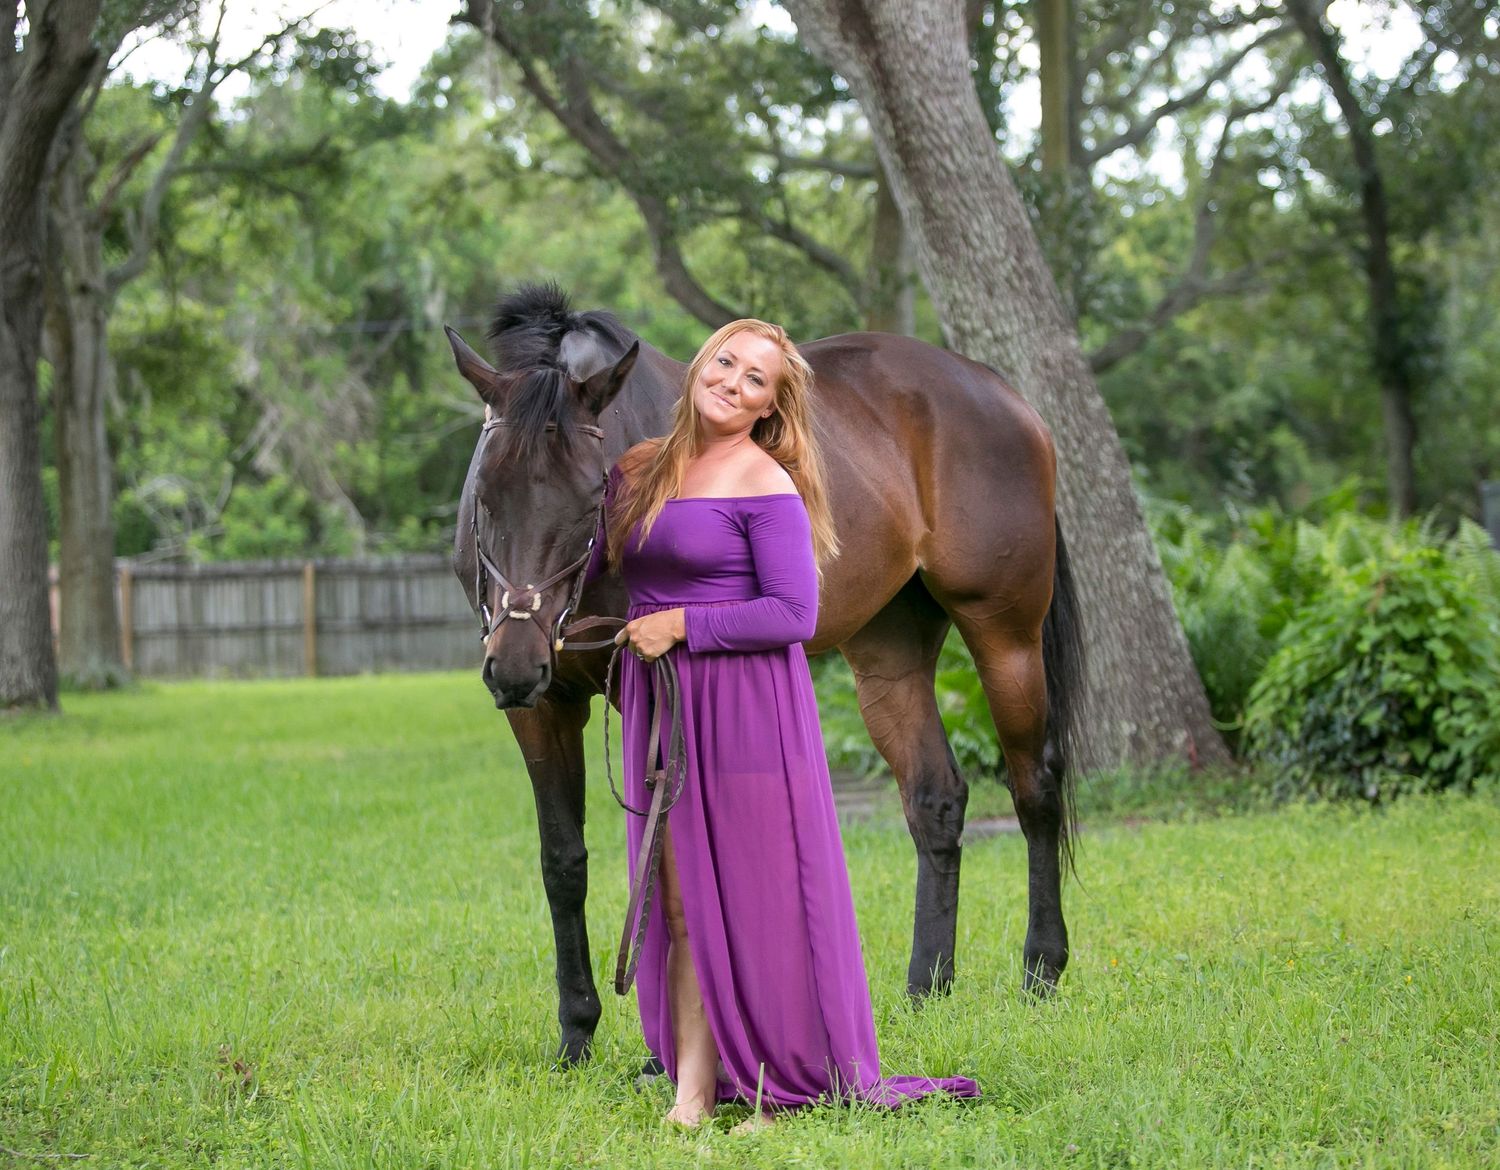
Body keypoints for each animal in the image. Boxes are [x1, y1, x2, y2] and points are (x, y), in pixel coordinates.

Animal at [447, 284, 1083, 1065]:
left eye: (592, 494)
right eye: (485, 492)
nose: (513, 662)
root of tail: (1003, 396)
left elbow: (664, 852)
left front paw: (669, 1051)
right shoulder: (543, 707)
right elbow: (563, 860)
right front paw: (576, 1034)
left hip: (1005, 634)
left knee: (1036, 787)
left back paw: (1041, 969)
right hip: (888, 655)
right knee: (936, 798)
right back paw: (926, 987)